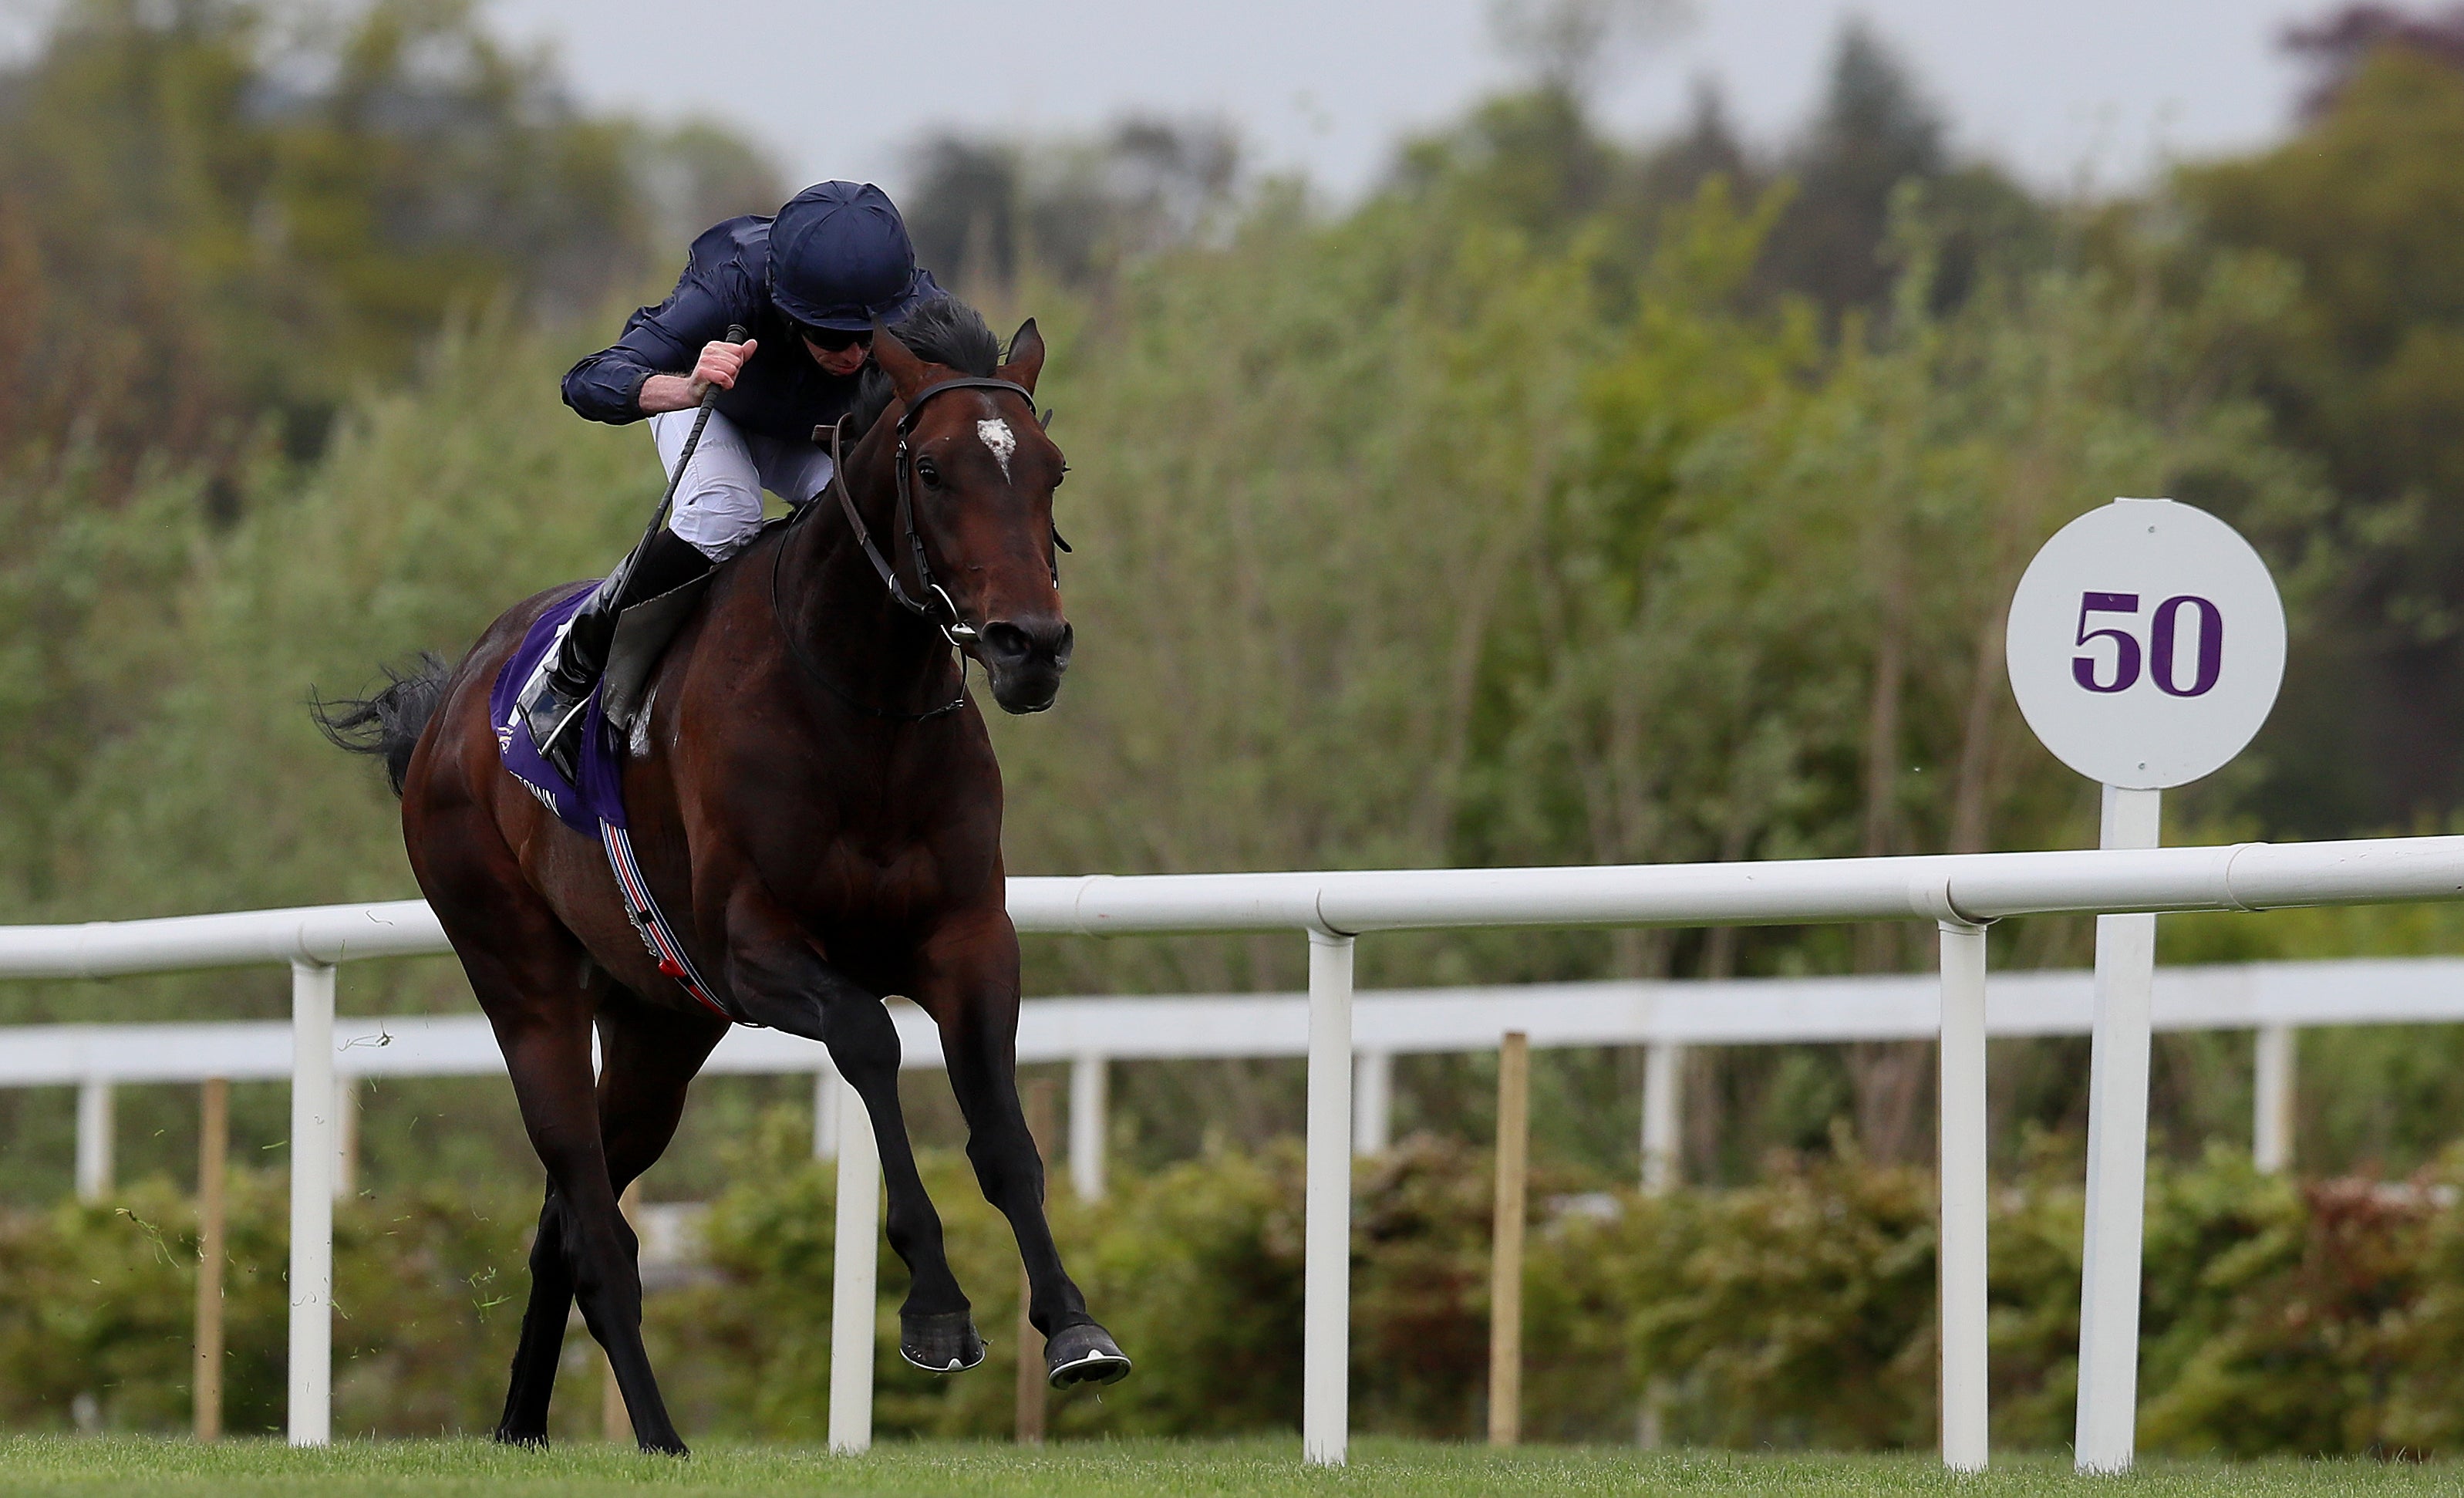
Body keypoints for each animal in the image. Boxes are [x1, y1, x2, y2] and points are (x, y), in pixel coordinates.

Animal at [310, 293, 1133, 1449]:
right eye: (932, 470)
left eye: (1050, 468)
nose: (1032, 645)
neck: (859, 708)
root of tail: (447, 711)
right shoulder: (759, 948)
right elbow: (871, 1043)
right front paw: (933, 1309)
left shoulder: (968, 934)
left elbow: (1004, 1135)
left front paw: (1074, 1327)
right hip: (523, 982)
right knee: (594, 1227)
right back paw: (658, 1436)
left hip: (660, 1027)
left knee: (564, 1220)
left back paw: (523, 1423)